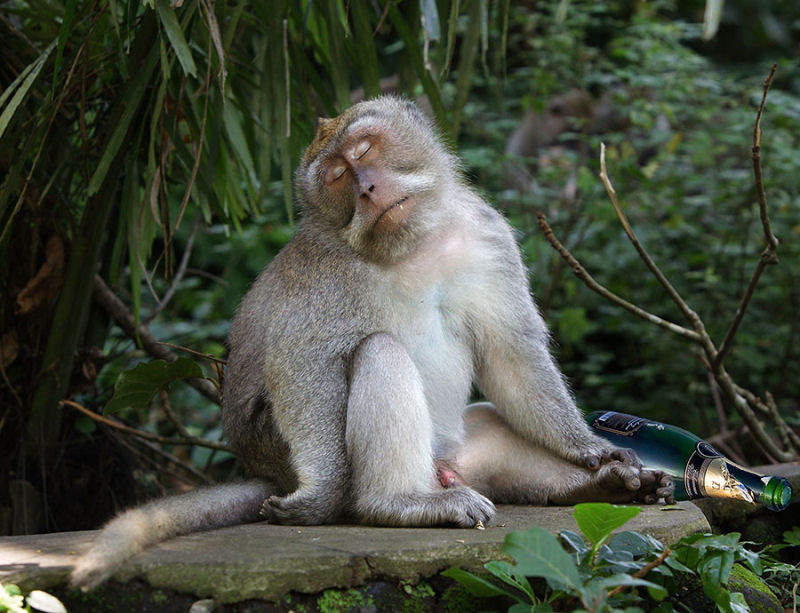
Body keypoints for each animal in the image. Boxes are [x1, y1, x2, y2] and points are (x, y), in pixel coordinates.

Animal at [69, 98, 672, 592]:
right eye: (337, 176)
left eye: (364, 150)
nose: (367, 188)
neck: (412, 246)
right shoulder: (322, 272)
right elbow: (306, 366)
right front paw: (321, 496)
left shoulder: (487, 234)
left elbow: (511, 356)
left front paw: (594, 452)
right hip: (282, 448)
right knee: (379, 353)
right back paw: (396, 504)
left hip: (463, 454)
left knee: (492, 427)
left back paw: (605, 487)